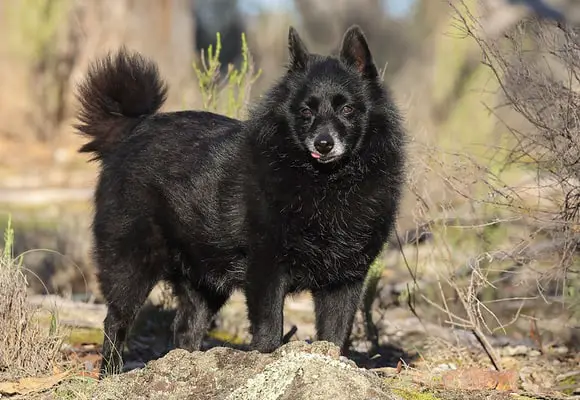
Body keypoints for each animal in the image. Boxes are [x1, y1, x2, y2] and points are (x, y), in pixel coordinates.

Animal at [75, 24, 406, 376]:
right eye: (306, 111)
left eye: (346, 108)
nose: (323, 143)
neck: (326, 182)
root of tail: (133, 128)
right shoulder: (266, 271)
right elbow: (269, 331)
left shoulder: (344, 281)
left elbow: (334, 336)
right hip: (131, 263)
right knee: (116, 322)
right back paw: (110, 374)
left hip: (204, 282)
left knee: (185, 328)